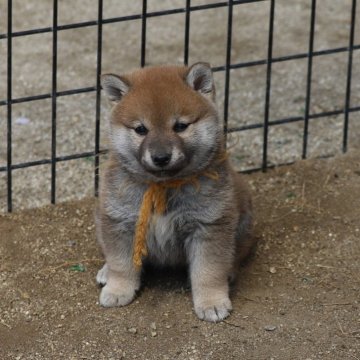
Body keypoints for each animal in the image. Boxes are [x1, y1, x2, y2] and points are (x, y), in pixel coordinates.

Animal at [95, 62, 253, 324]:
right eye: (141, 129)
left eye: (180, 126)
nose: (161, 157)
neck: (164, 186)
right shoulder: (120, 223)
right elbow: (121, 264)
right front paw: (117, 290)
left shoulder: (209, 227)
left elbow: (209, 272)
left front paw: (212, 302)